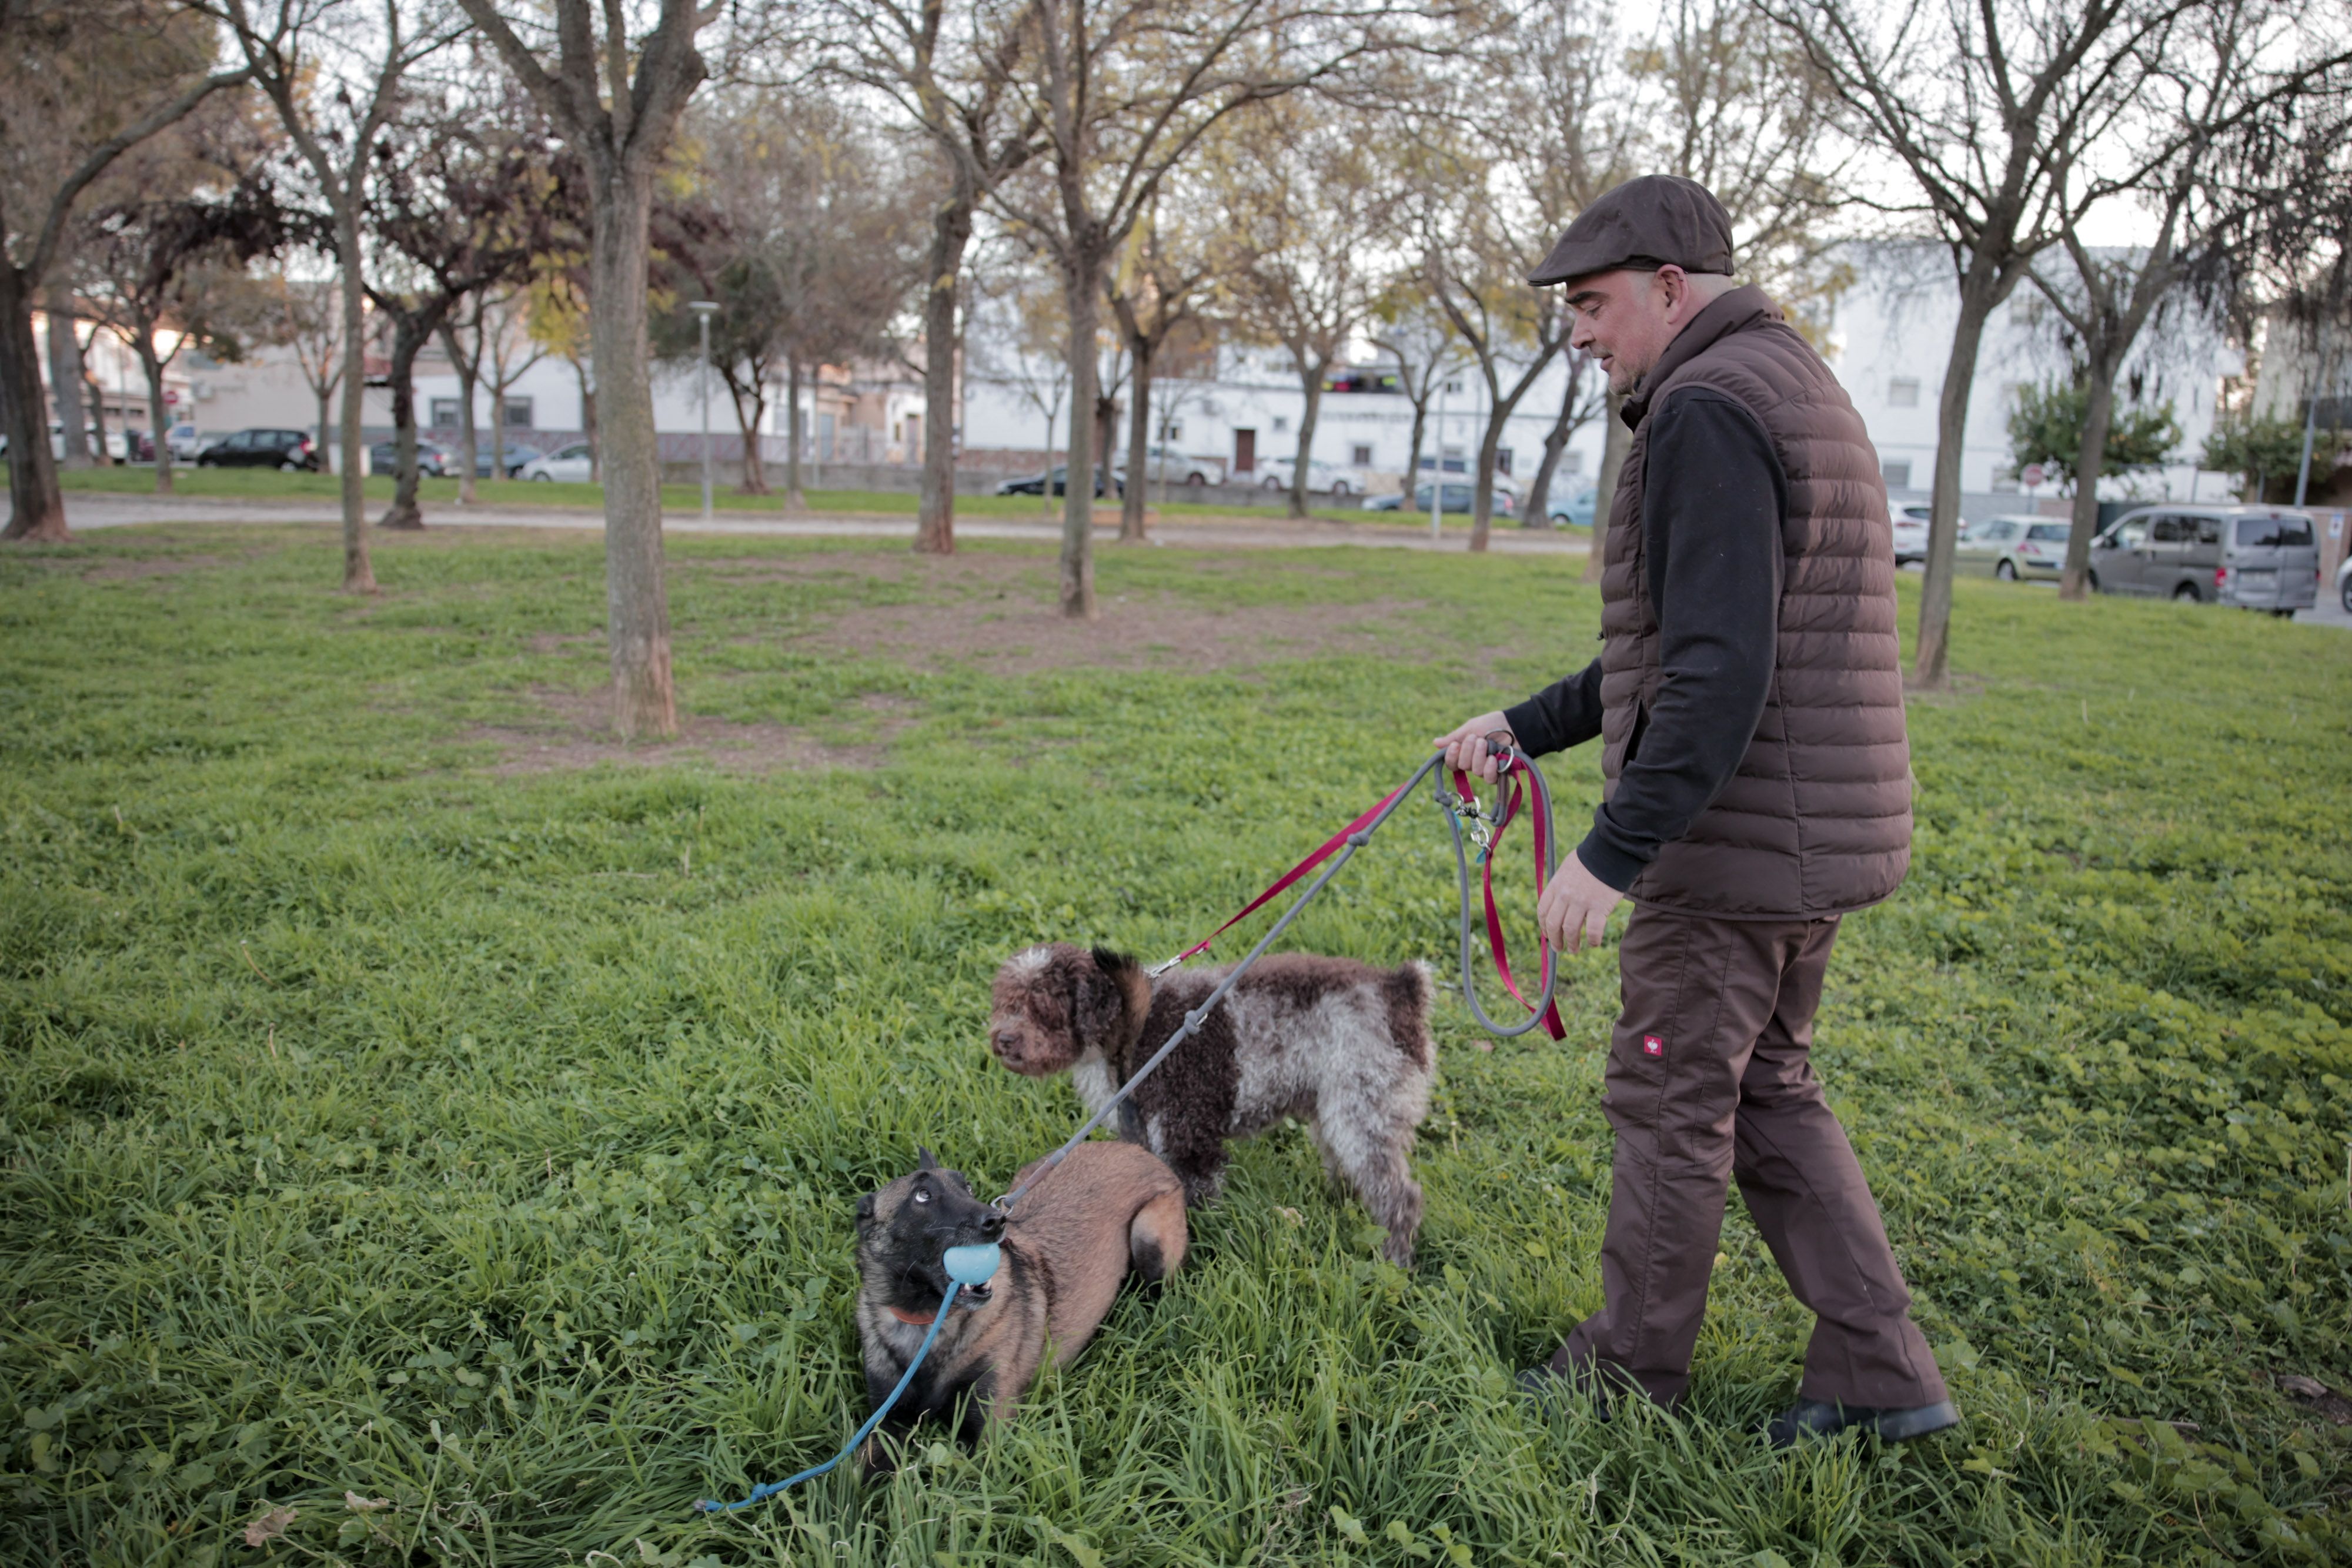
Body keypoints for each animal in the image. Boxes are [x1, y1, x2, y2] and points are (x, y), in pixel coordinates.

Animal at [856, 1142, 1185, 1476]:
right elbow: (860, 1478)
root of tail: (1133, 1148)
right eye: (922, 1195)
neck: (928, 1322)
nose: (996, 1222)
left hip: (1149, 1238)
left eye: (968, 1187)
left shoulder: (988, 1436)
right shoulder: (885, 1424)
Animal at [988, 945, 1430, 1260]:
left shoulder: (1187, 1134)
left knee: (1400, 1196)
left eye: (1045, 1007)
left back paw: (1395, 1258)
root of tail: (1400, 990)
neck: (1131, 1027)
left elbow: (1195, 1201)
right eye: (1006, 1002)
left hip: (1366, 1105)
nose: (1003, 1040)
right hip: (1338, 1103)